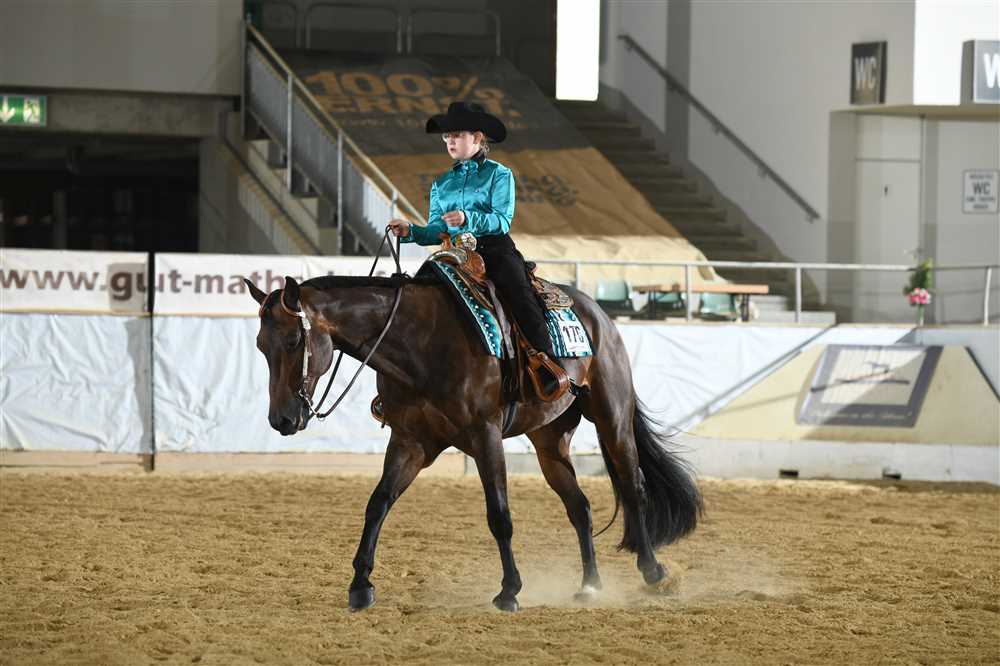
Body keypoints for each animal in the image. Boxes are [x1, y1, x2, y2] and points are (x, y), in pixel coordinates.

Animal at [245, 270, 702, 612]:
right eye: (260, 346)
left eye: (293, 340)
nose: (281, 419)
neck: (420, 342)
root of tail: (598, 315)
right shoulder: (411, 441)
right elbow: (378, 504)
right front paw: (360, 585)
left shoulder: (485, 435)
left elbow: (499, 514)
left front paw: (509, 591)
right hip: (549, 441)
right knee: (579, 506)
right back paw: (590, 585)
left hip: (613, 418)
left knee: (633, 487)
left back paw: (654, 572)